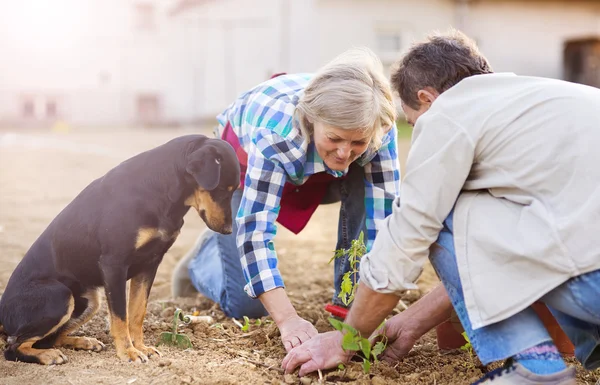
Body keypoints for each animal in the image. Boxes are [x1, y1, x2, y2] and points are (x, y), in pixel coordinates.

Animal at [0, 134, 239, 364]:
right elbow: (120, 317)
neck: (162, 189)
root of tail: (2, 310)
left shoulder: (149, 265)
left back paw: (83, 342)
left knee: (48, 339)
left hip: (90, 301)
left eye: (234, 190)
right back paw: (48, 356)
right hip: (60, 296)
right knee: (14, 348)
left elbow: (137, 312)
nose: (228, 230)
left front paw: (141, 347)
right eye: (221, 189)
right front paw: (128, 352)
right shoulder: (114, 265)